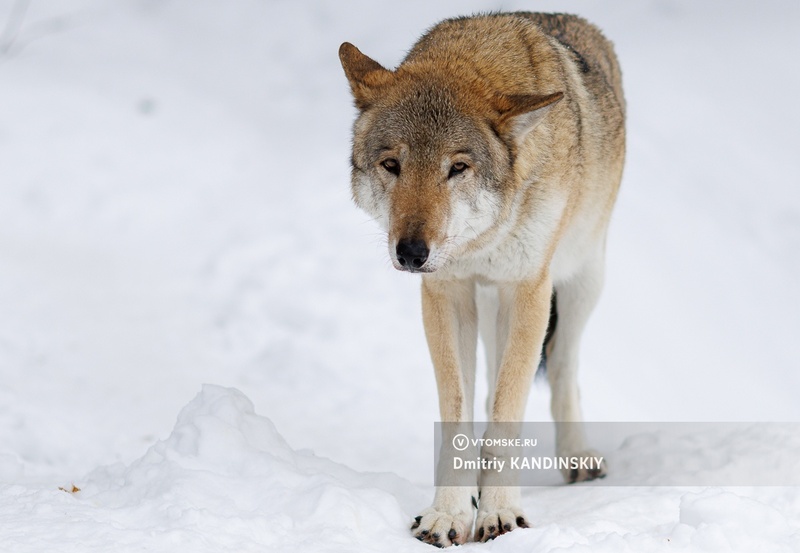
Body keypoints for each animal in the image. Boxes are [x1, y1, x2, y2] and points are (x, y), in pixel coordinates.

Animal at [338, 10, 624, 544]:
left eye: (457, 167)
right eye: (392, 164)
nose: (411, 253)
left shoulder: (529, 289)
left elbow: (510, 411)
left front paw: (501, 514)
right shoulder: (448, 291)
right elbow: (459, 414)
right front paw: (448, 513)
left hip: (582, 280)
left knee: (562, 364)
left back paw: (577, 456)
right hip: (491, 303)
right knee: (492, 386)